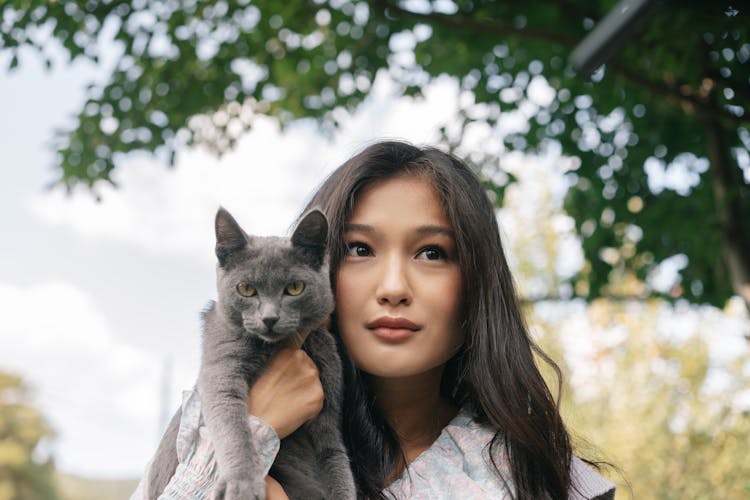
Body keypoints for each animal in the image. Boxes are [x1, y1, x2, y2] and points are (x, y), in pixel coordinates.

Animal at [149, 207, 358, 500]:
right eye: (246, 289)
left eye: (294, 287)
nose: (269, 318)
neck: (272, 347)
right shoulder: (221, 368)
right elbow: (234, 425)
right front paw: (242, 484)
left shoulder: (329, 392)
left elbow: (334, 454)